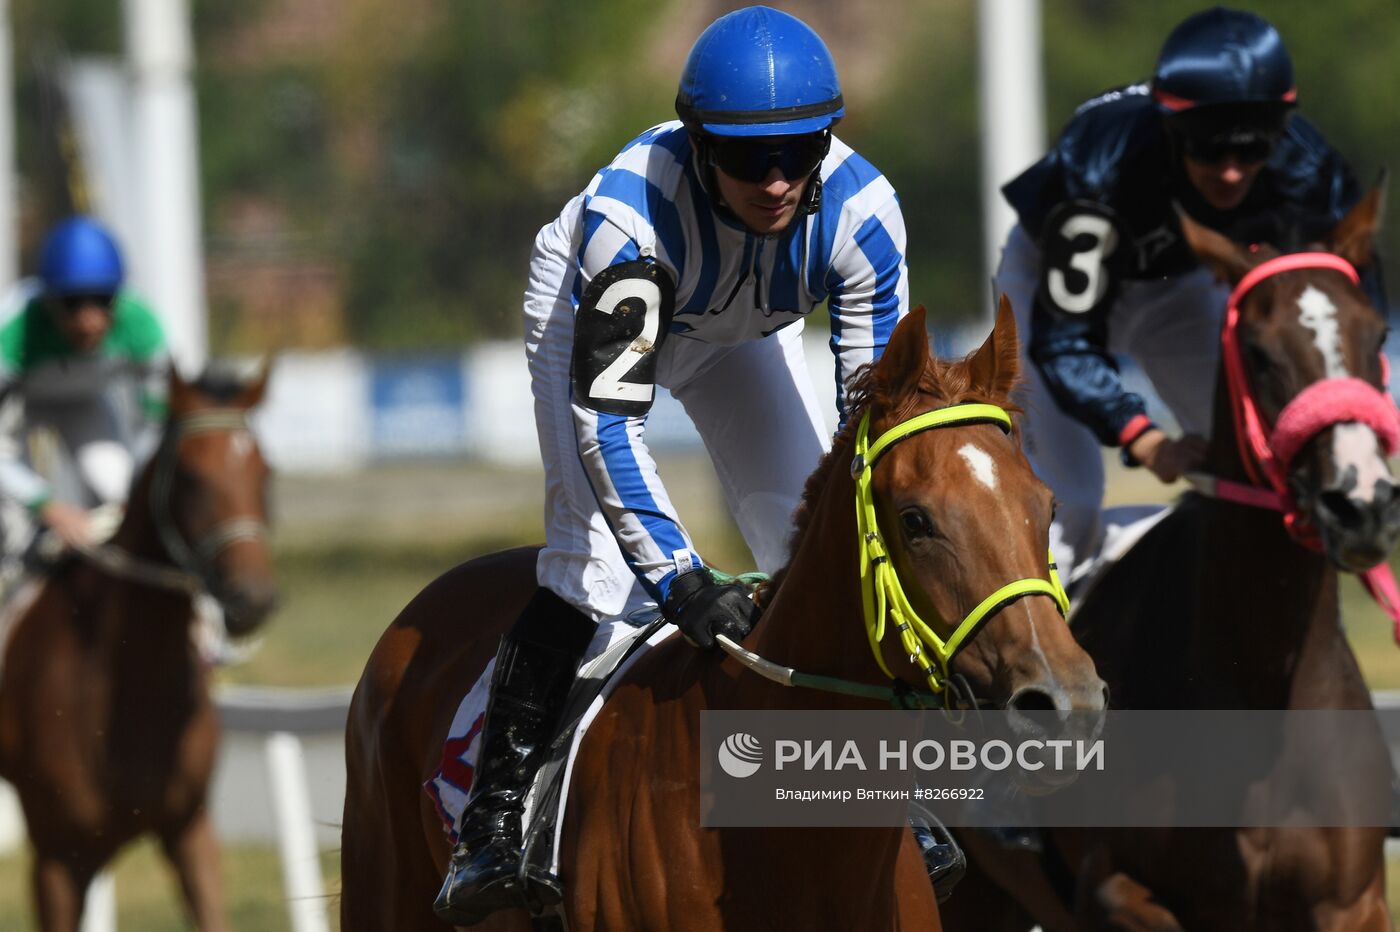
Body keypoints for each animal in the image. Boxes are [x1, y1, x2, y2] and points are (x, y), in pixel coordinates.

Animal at [940, 187, 1400, 929]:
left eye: (1377, 336)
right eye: (1258, 351)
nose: (1360, 503)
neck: (1262, 685)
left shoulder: (1351, 902)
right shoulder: (1115, 890)